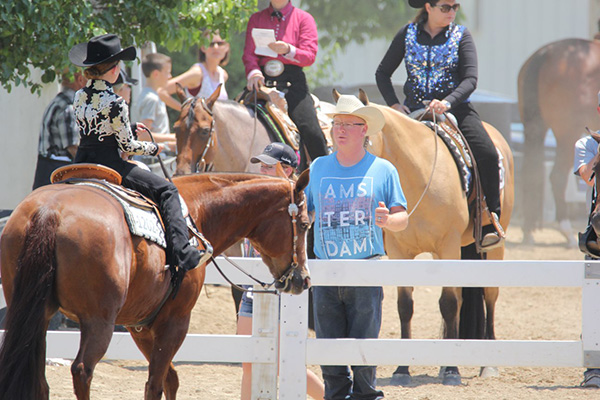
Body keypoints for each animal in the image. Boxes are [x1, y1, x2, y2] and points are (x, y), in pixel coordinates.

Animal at [0, 170, 310, 398]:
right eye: (306, 224)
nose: (303, 279)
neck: (195, 213)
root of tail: (50, 211)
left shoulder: (139, 325)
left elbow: (169, 378)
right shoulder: (174, 321)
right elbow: (156, 384)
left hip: (35, 315)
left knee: (38, 378)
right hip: (98, 321)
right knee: (82, 370)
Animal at [352, 90, 516, 384]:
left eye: (359, 133)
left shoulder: (447, 246)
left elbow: (448, 304)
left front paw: (452, 371)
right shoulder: (400, 252)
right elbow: (405, 306)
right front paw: (402, 370)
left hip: (492, 247)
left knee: (490, 295)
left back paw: (487, 365)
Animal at [516, 38, 600, 244]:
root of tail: (544, 54)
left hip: (535, 127)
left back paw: (528, 231)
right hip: (567, 132)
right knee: (557, 176)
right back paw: (566, 230)